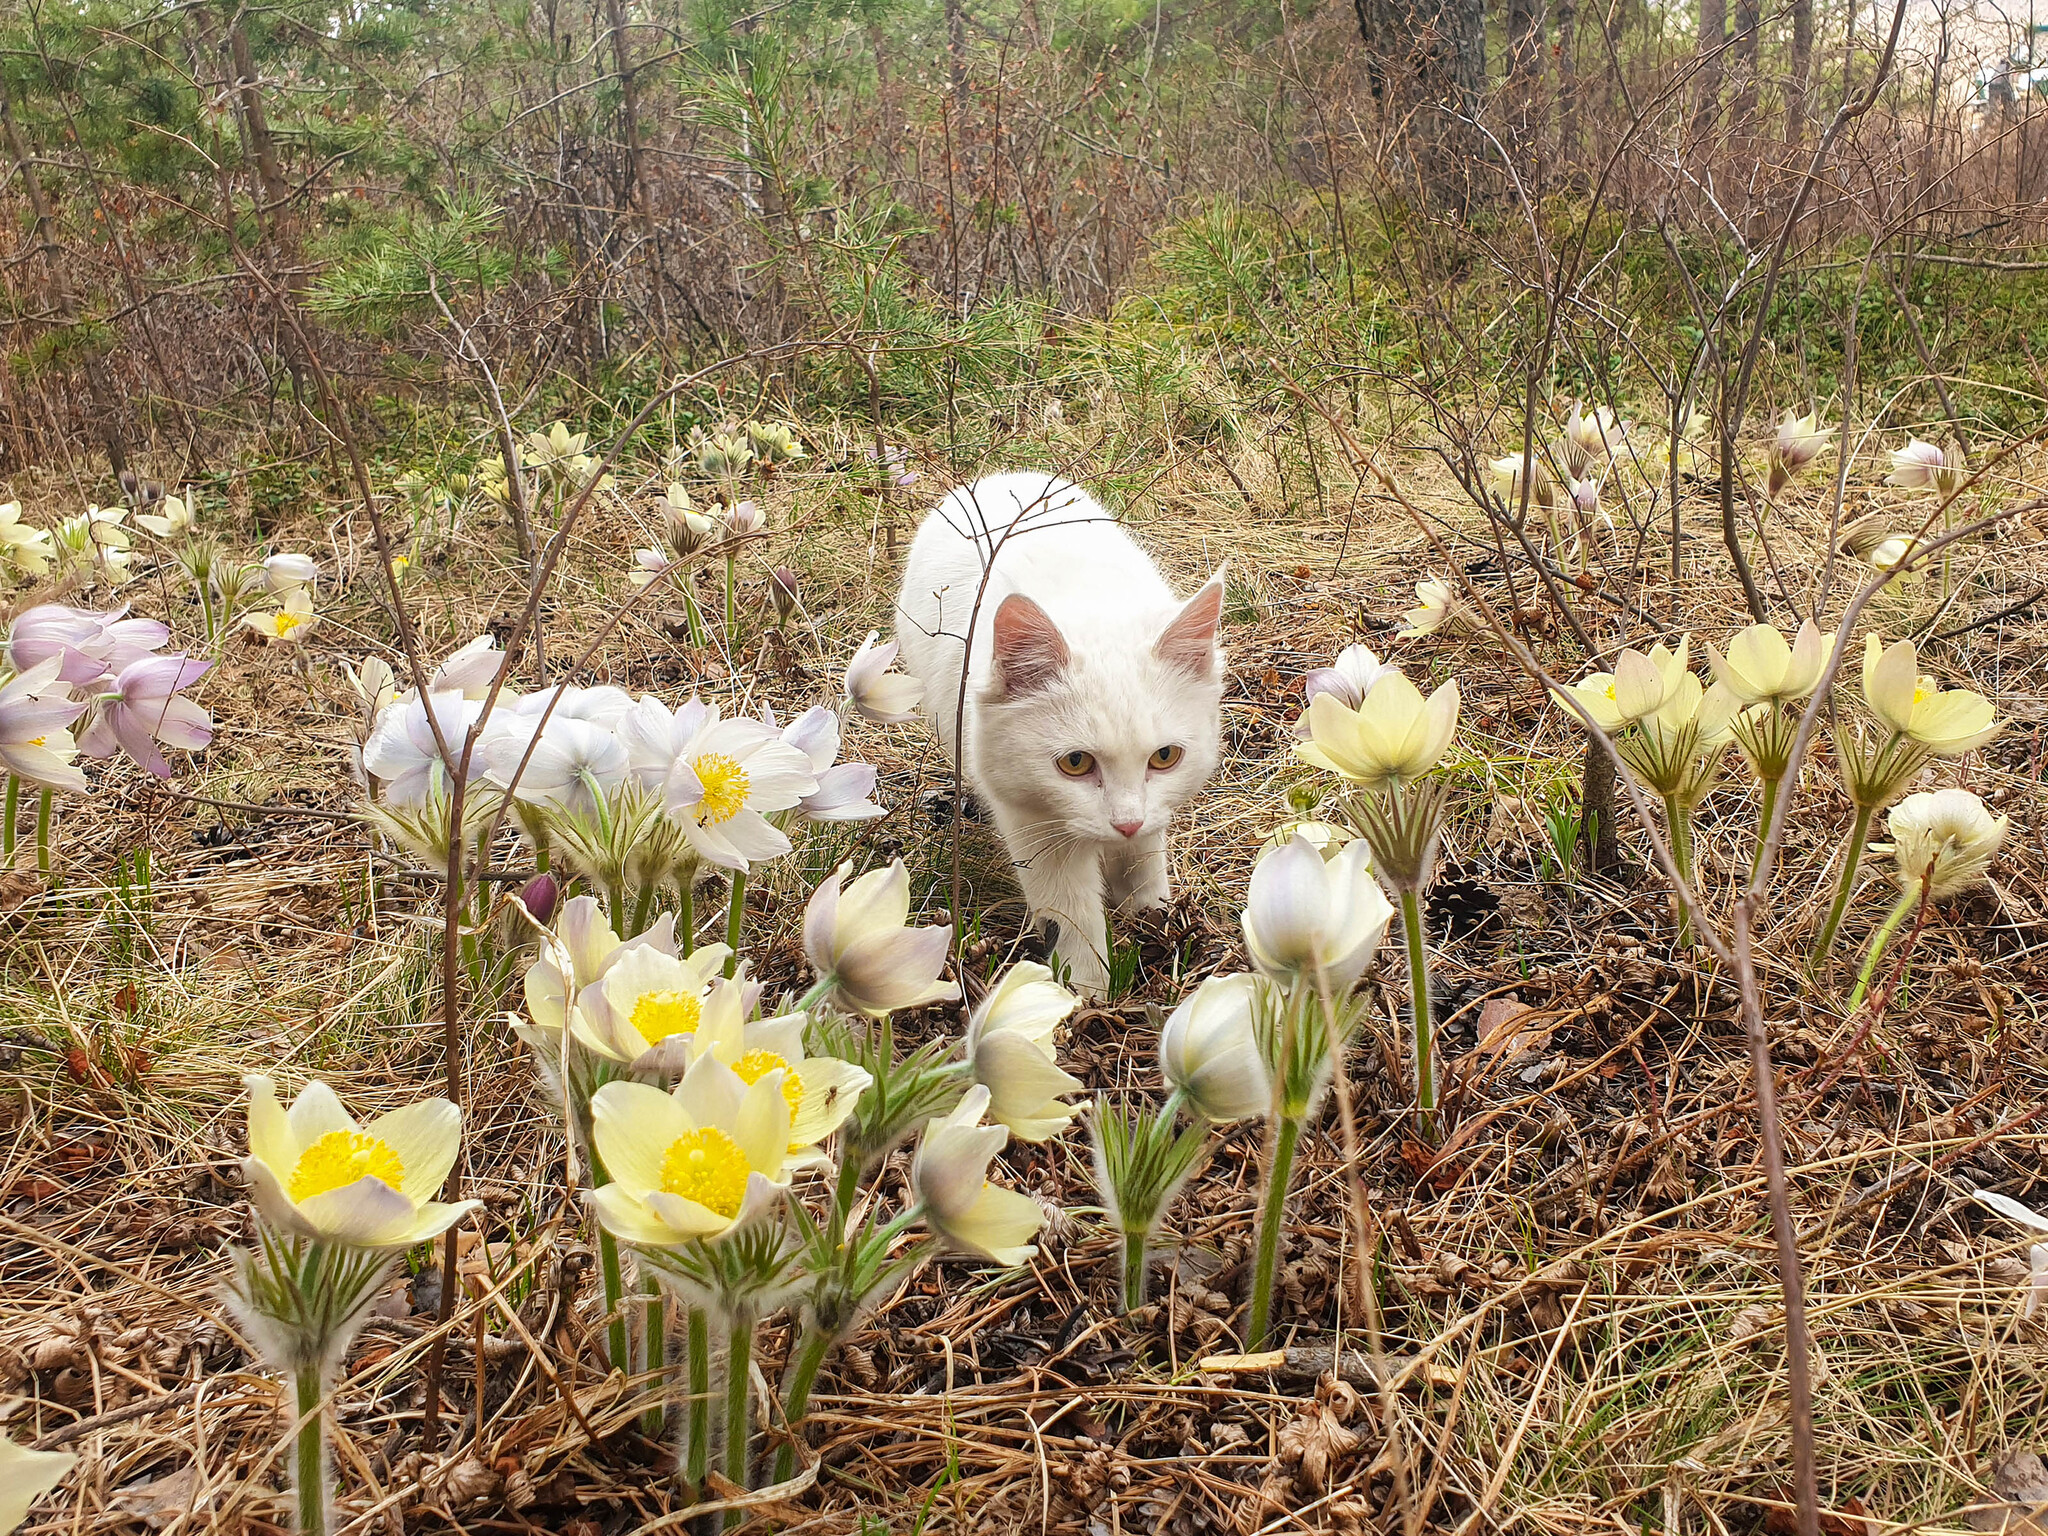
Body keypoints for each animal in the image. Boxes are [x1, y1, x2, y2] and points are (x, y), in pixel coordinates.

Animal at [892, 473, 1212, 999]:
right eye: (1075, 763)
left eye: (1165, 756)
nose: (1126, 823)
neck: (1091, 606)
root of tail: (999, 476)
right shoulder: (1033, 822)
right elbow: (1071, 919)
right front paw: (1083, 997)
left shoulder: (1152, 818)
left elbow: (1143, 868)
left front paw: (1155, 922)